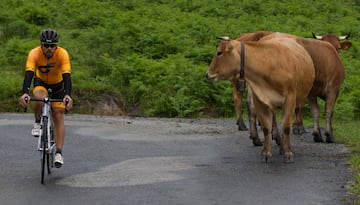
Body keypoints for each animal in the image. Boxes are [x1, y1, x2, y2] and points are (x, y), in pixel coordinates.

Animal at [207, 35, 314, 163]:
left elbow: (286, 127)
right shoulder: (259, 100)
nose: (207, 74)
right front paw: (266, 153)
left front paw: (288, 153)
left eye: (219, 53)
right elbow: (266, 127)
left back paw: (282, 147)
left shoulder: (290, 99)